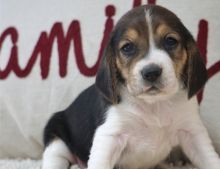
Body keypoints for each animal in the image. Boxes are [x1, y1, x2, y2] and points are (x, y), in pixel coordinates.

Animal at [41, 3, 220, 169]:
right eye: (127, 47)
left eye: (170, 41)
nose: (151, 72)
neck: (154, 105)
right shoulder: (110, 135)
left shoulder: (192, 132)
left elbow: (210, 159)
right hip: (56, 134)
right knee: (54, 157)